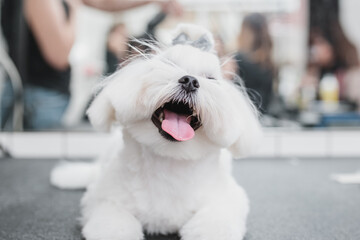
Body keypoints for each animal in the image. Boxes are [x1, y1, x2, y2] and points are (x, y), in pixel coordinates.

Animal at [51, 24, 262, 240]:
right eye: (168, 64)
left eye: (211, 78)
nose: (190, 81)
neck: (169, 163)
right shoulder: (103, 194)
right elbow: (111, 214)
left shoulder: (229, 196)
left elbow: (218, 216)